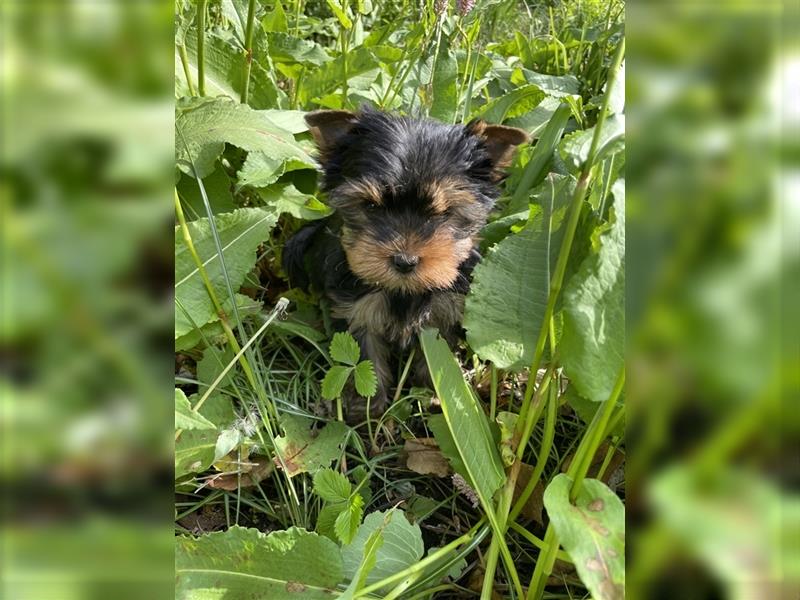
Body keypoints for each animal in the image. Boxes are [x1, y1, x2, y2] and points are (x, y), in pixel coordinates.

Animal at [284, 105, 528, 420]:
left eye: (444, 213)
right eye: (371, 206)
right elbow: (367, 359)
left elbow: (435, 355)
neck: (405, 290)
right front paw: (365, 411)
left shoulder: (444, 312)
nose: (405, 260)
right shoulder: (359, 313)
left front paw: (433, 396)